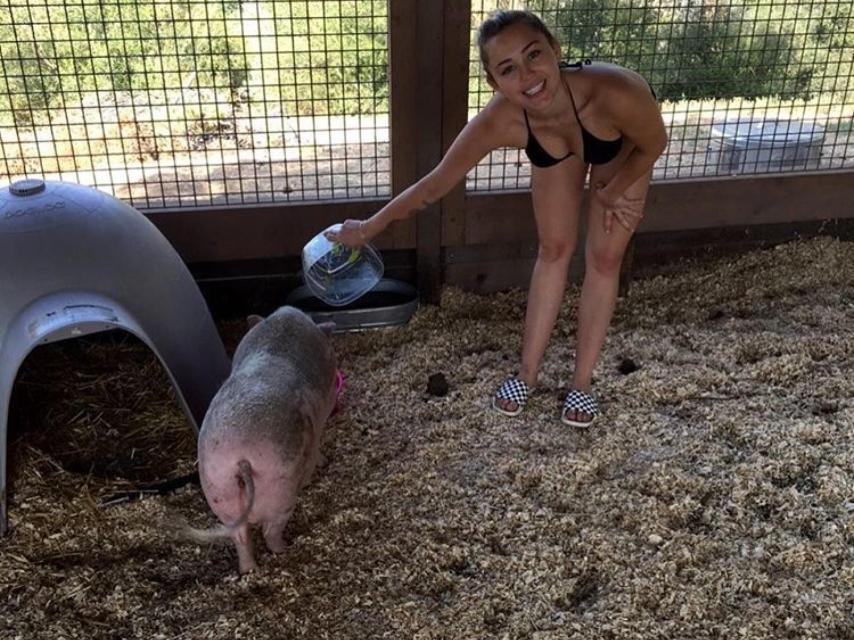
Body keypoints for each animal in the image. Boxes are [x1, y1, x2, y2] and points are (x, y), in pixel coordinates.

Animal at [191, 306, 338, 576]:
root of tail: (241, 458)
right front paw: (323, 463)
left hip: (219, 487)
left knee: (240, 537)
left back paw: (248, 570)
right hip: (280, 488)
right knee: (271, 532)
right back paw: (285, 548)